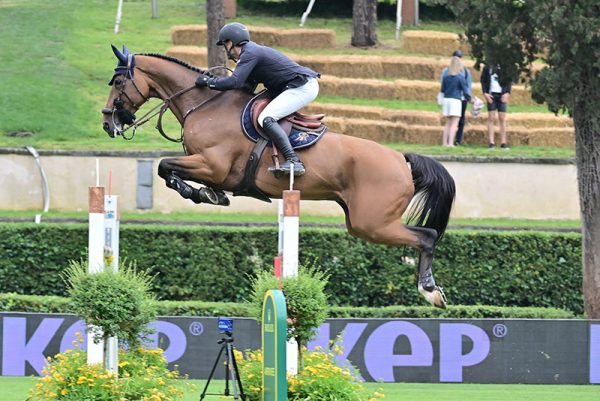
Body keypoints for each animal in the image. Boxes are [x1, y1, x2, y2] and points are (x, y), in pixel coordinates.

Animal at [101, 45, 454, 308]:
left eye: (117, 83)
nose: (108, 123)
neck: (204, 105)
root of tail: (400, 158)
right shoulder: (207, 166)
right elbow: (166, 168)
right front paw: (211, 194)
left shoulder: (212, 164)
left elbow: (165, 166)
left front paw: (199, 193)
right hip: (362, 222)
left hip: (373, 222)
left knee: (426, 236)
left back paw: (430, 291)